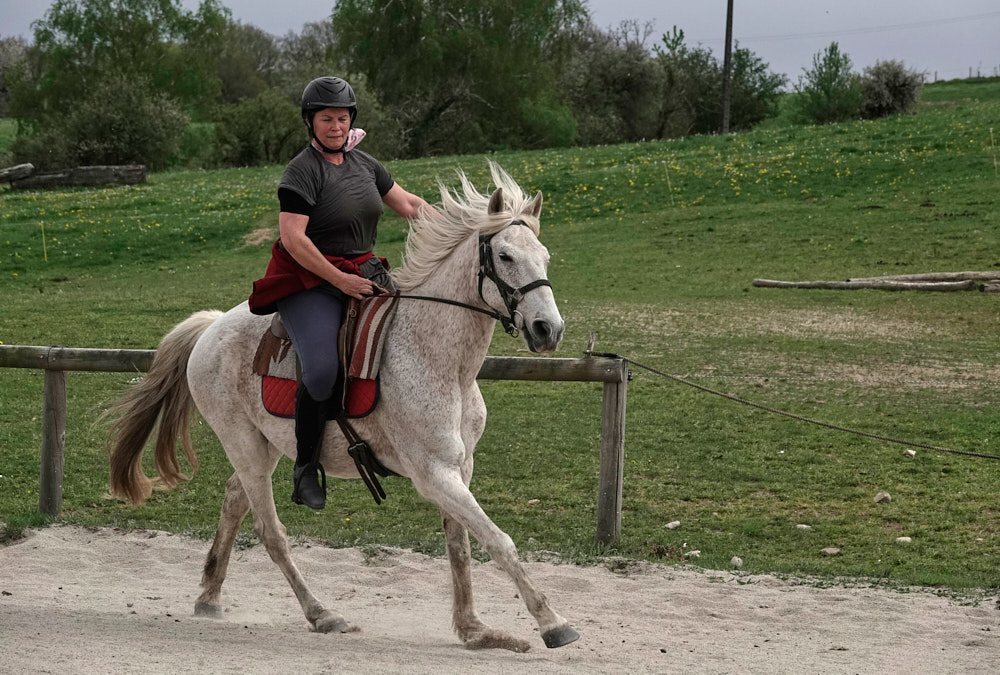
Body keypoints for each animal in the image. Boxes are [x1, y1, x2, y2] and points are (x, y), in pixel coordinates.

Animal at [105, 161, 580, 652]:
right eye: (505, 256)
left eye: (544, 257)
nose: (548, 330)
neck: (440, 359)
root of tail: (212, 326)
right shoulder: (433, 474)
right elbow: (499, 541)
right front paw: (551, 622)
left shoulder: (459, 469)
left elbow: (460, 544)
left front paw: (474, 628)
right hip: (243, 443)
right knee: (270, 531)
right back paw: (322, 614)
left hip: (265, 444)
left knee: (235, 500)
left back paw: (209, 597)